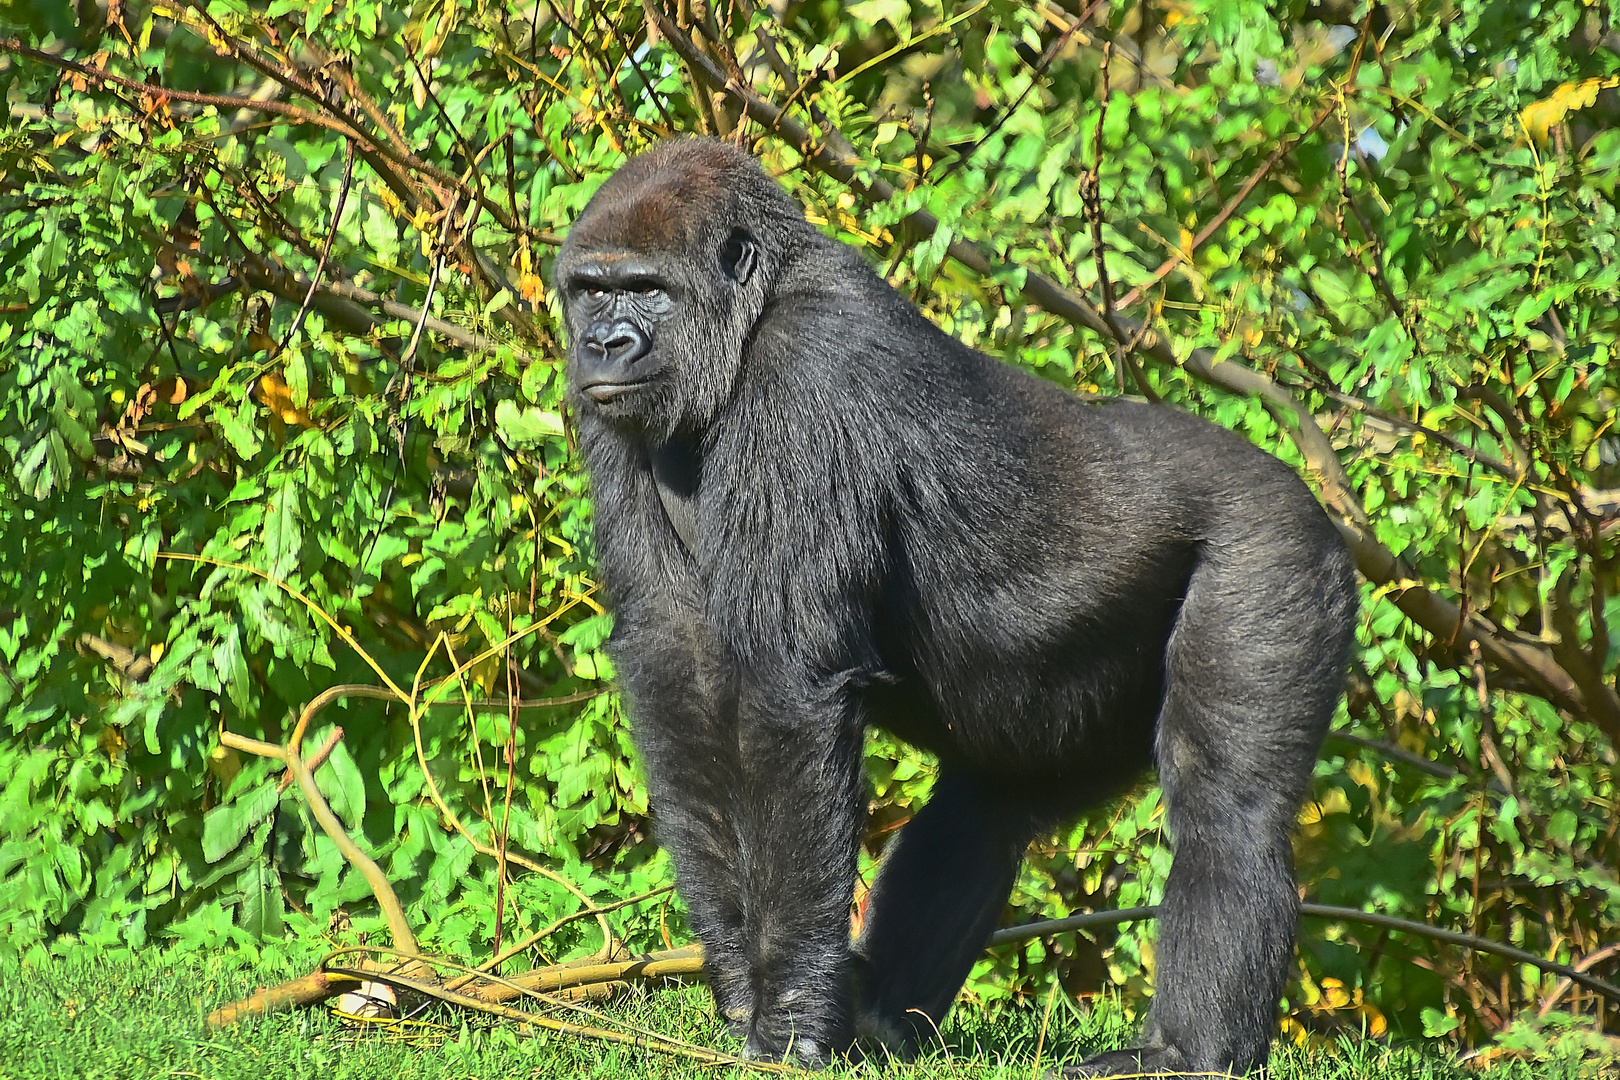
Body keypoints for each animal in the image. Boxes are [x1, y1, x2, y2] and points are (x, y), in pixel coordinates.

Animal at [554, 139, 1354, 1075]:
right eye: (591, 290)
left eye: (648, 289)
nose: (604, 344)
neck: (749, 317)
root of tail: (1314, 504)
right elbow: (676, 660)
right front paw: (740, 984)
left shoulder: (810, 366)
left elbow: (787, 690)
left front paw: (789, 1015)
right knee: (988, 807)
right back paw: (885, 1021)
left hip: (1277, 550)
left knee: (1230, 812)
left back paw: (1186, 1050)